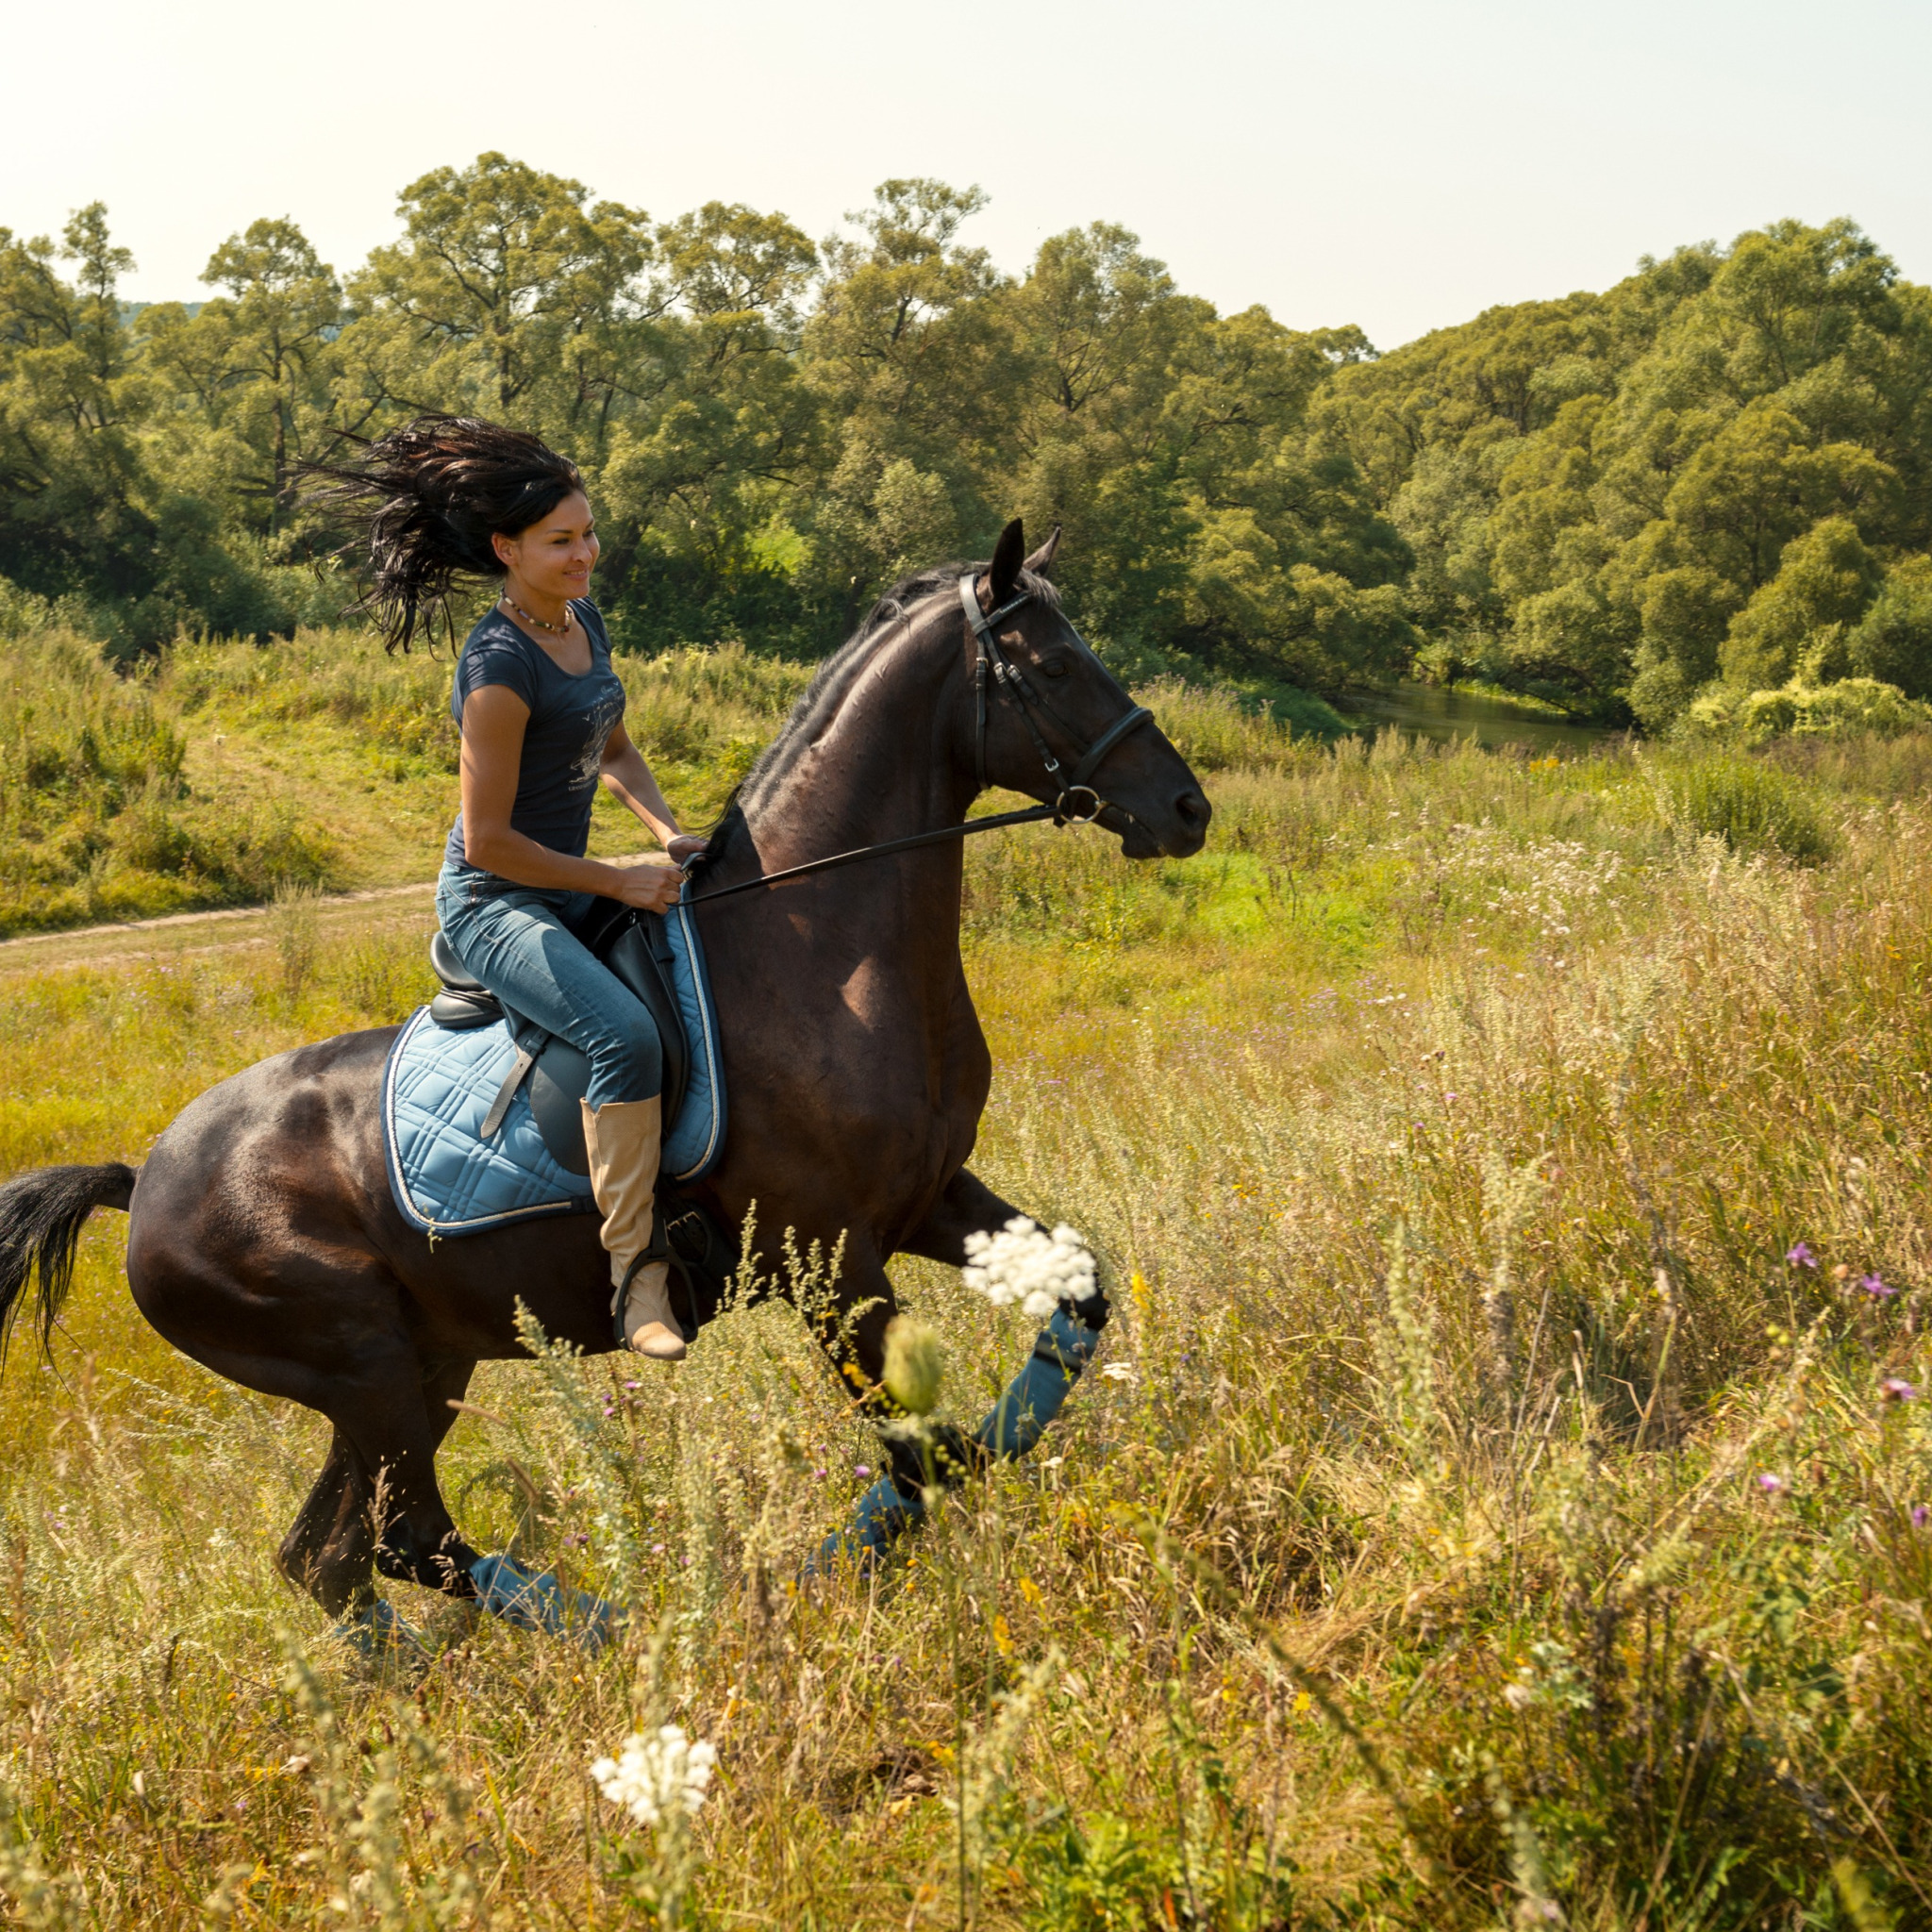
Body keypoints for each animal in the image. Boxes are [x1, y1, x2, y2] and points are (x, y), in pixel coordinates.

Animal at [0, 521, 1205, 1638]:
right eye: (1053, 665)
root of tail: (145, 1178)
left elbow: (1074, 1306)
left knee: (333, 1554)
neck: (819, 943)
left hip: (417, 1365)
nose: (1187, 807)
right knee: (406, 1537)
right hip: (367, 1367)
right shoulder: (825, 1251)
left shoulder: (931, 1198)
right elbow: (923, 1452)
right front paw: (824, 1577)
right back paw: (660, 1630)